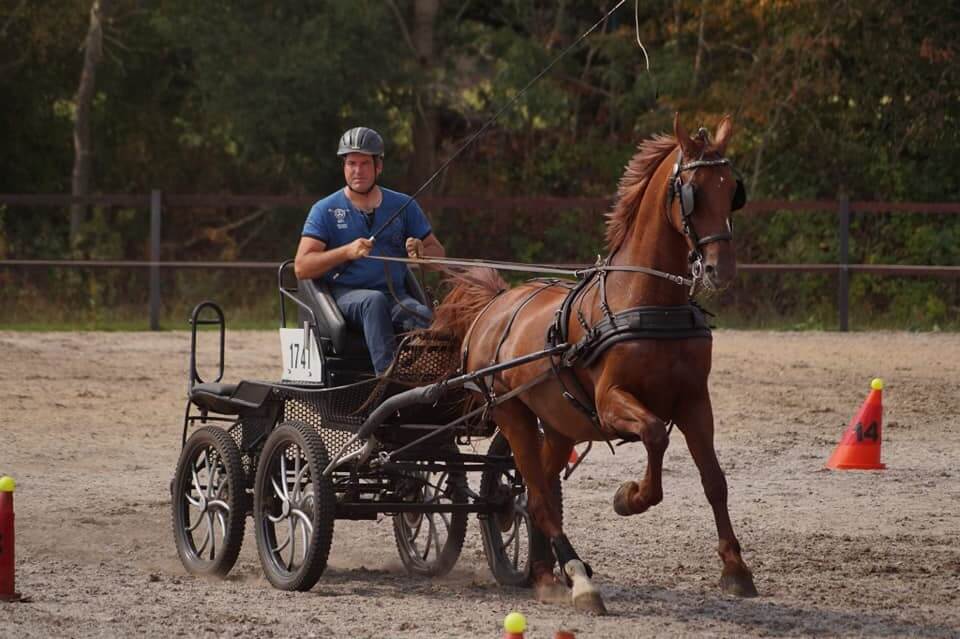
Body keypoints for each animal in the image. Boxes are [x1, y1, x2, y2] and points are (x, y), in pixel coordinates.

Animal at [434, 115, 756, 616]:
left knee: (535, 492)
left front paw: (735, 568)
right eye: (693, 192)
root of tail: (494, 306)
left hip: (557, 422)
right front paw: (630, 497)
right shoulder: (610, 404)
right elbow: (654, 436)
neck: (646, 302)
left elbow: (714, 480)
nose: (722, 269)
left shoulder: (694, 401)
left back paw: (545, 574)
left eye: (731, 190)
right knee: (539, 497)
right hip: (511, 413)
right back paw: (579, 580)